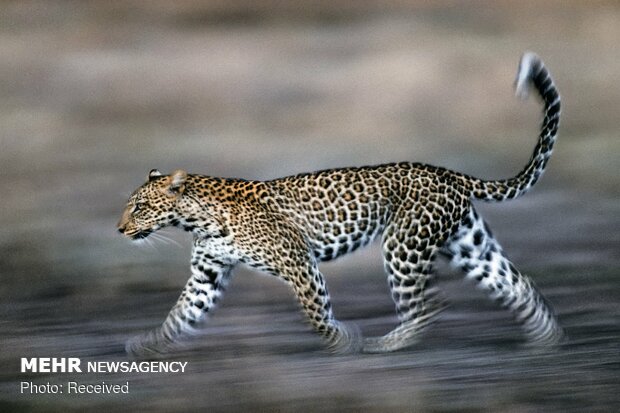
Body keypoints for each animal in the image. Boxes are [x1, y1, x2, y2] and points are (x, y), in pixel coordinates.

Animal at [118, 53, 564, 358]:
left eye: (138, 207)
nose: (120, 230)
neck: (198, 221)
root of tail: (445, 172)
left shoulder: (297, 262)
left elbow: (315, 313)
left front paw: (342, 341)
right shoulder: (207, 275)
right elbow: (180, 315)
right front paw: (147, 346)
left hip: (403, 246)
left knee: (430, 305)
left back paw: (385, 345)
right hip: (468, 244)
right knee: (516, 283)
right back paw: (548, 340)